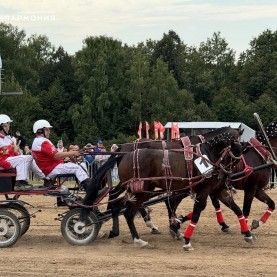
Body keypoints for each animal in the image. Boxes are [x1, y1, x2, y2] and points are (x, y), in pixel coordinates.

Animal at [80, 133, 250, 249]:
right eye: (232, 157)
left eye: (238, 158)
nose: (225, 176)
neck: (207, 156)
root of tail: (124, 153)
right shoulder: (204, 189)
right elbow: (196, 211)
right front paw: (185, 238)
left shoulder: (216, 189)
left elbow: (235, 208)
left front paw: (247, 233)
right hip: (140, 190)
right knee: (125, 209)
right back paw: (136, 236)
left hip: (139, 190)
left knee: (121, 207)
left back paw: (128, 234)